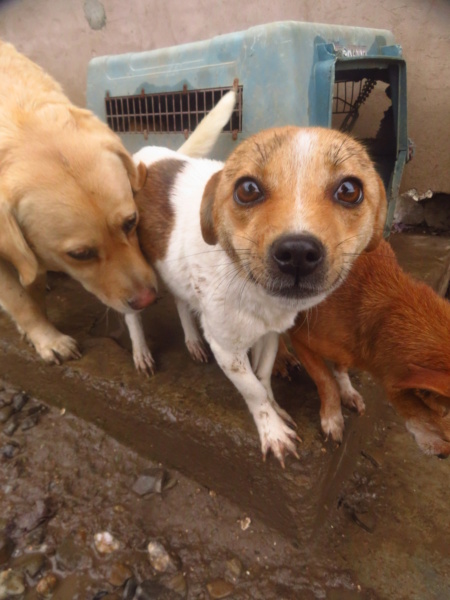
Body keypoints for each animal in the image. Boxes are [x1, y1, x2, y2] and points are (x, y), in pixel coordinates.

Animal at [0, 42, 158, 364]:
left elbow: (32, 287)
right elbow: (19, 299)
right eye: (80, 255)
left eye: (131, 222)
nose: (147, 299)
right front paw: (47, 338)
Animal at [282, 239, 450, 454]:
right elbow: (325, 380)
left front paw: (348, 393)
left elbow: (340, 368)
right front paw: (333, 420)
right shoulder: (300, 337)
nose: (443, 456)